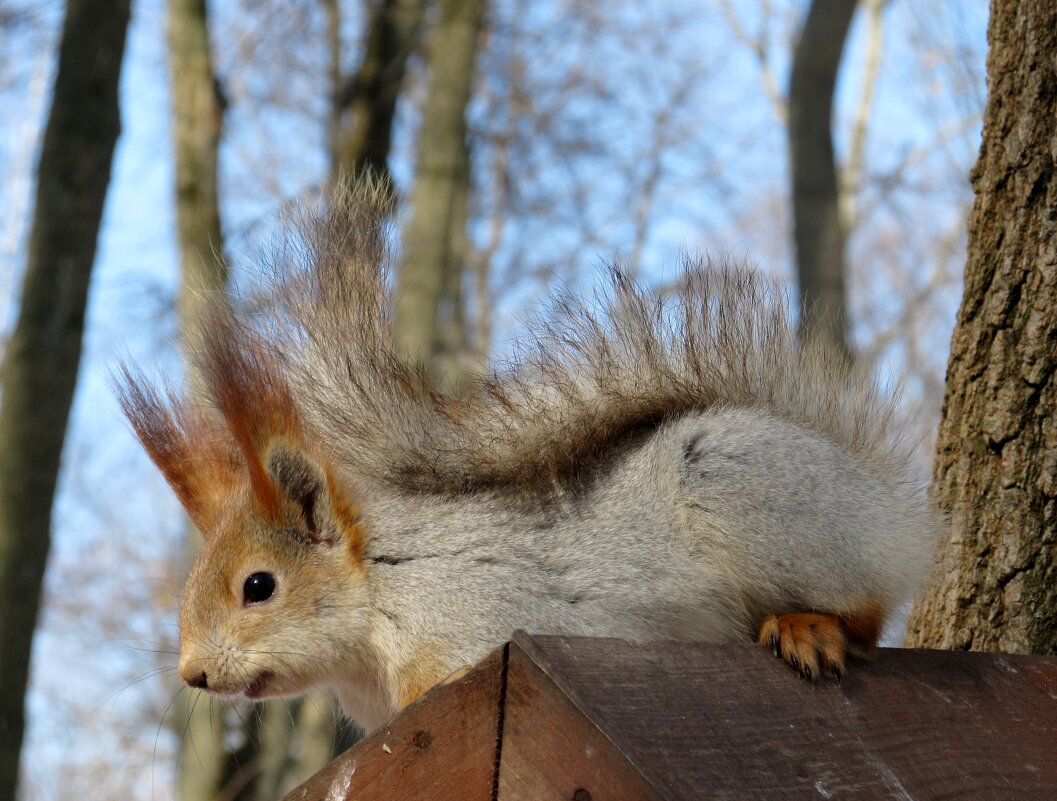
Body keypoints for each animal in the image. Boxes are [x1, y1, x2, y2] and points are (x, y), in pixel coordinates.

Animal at [119, 180, 938, 735]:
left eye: (259, 587)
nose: (194, 674)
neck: (382, 587)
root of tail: (882, 499)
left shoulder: (477, 624)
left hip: (746, 486)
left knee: (866, 610)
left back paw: (809, 626)